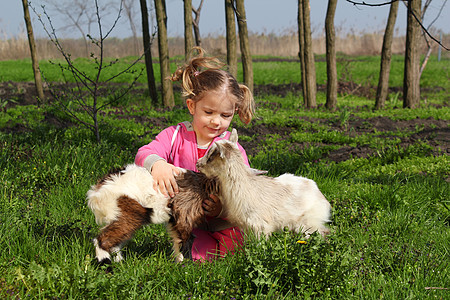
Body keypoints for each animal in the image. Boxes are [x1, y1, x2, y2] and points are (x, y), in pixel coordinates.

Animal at [87, 164, 218, 264]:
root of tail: (98, 190)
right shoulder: (184, 214)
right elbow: (186, 241)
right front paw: (186, 267)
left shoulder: (174, 219)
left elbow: (178, 241)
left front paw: (179, 265)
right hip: (128, 213)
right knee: (103, 239)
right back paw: (106, 264)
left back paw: (119, 263)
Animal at [196, 129, 330, 239]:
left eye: (211, 157)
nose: (198, 163)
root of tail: (321, 196)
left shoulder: (260, 226)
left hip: (308, 224)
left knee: (322, 233)